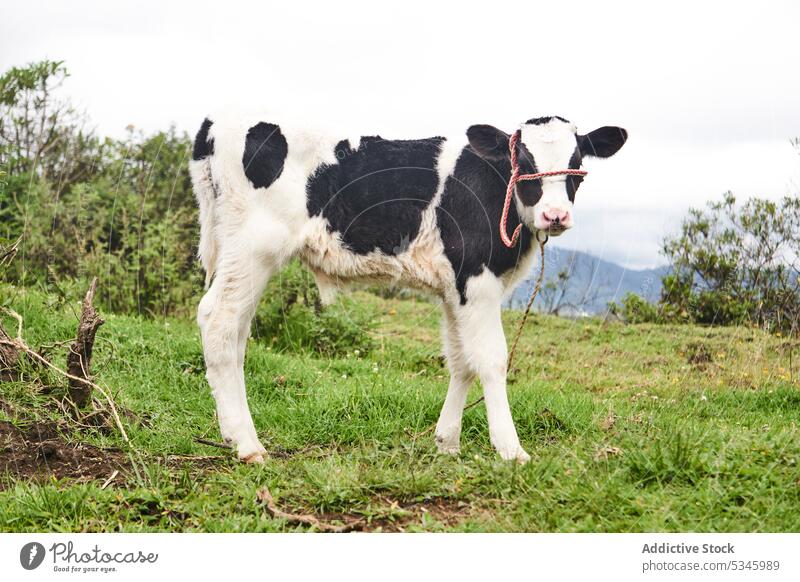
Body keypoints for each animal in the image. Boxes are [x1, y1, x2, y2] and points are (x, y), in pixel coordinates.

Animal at [191, 113, 628, 466]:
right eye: (522, 160)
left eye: (577, 163)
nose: (556, 216)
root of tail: (215, 124)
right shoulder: (477, 279)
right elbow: (491, 359)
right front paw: (510, 449)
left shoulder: (454, 288)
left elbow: (461, 360)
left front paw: (447, 442)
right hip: (253, 247)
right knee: (219, 320)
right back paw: (247, 445)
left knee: (238, 334)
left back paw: (235, 434)